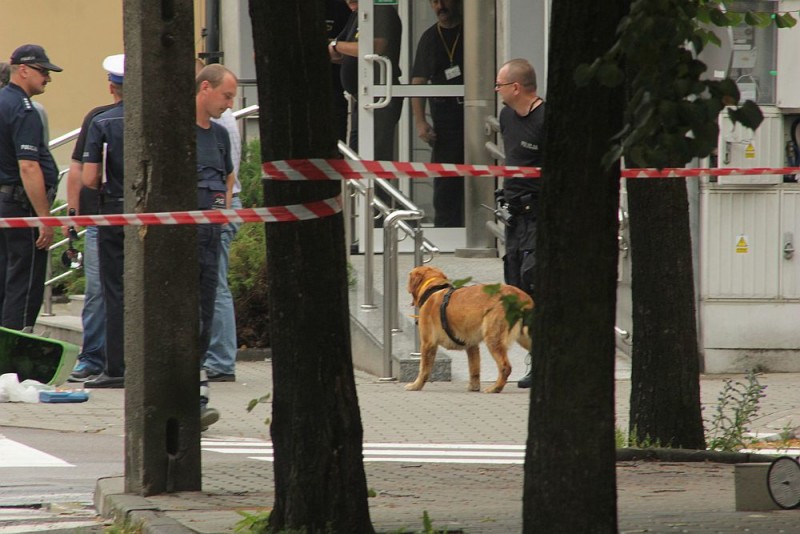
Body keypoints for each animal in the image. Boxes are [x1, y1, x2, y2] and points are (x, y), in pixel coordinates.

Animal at [406, 264, 532, 394]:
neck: (433, 288)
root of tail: (520, 295)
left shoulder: (428, 343)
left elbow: (423, 369)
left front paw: (416, 386)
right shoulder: (472, 346)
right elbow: (474, 368)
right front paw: (474, 387)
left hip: (493, 338)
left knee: (505, 367)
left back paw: (495, 388)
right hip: (525, 338)